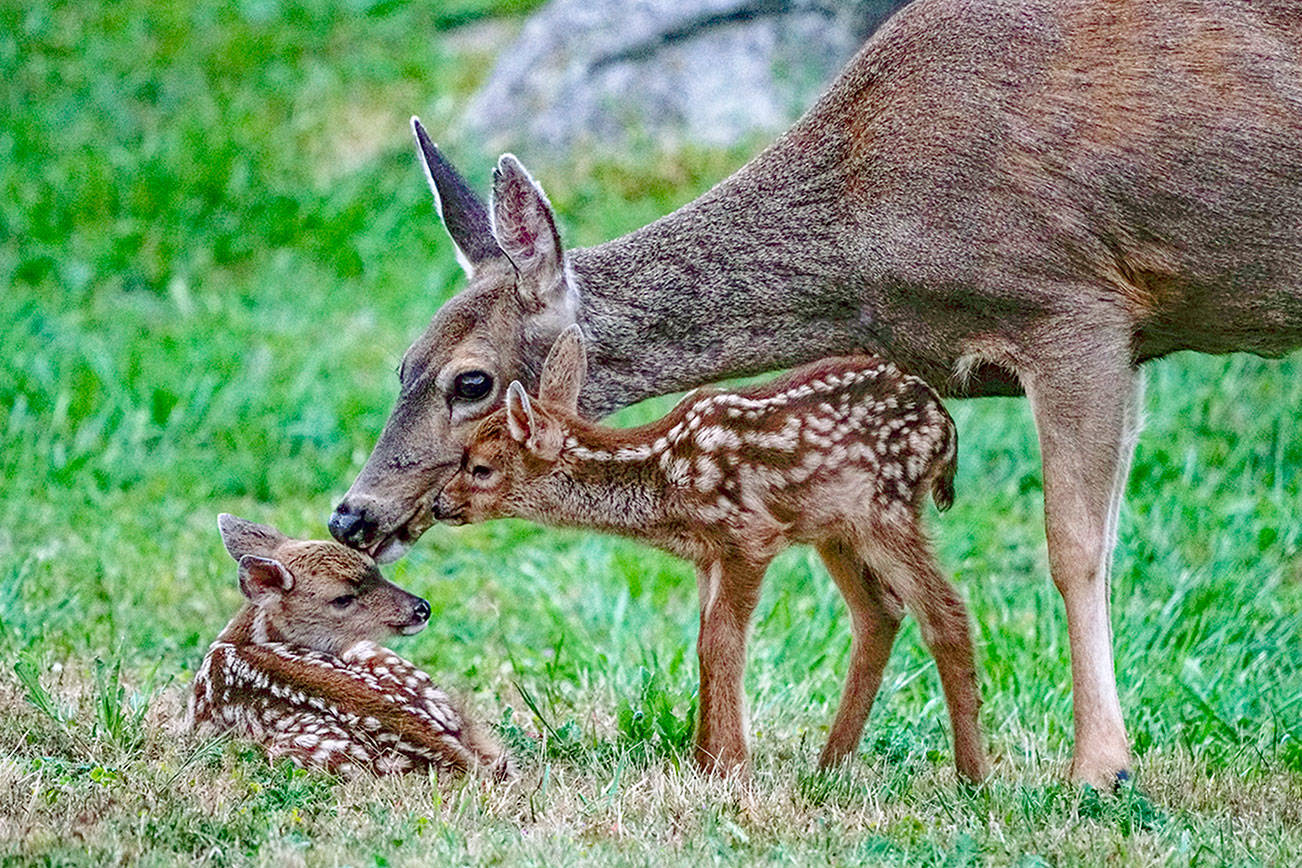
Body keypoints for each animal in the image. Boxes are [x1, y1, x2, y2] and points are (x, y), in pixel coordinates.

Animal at [333, 0, 1302, 786]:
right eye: (402, 362)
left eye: (471, 381)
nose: (352, 514)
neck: (866, 242)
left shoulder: (1079, 308)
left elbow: (1075, 547)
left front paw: (1102, 767)